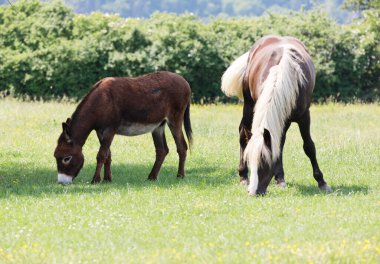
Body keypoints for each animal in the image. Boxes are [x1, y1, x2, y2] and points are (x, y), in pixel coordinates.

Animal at [53, 71, 193, 185]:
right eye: (56, 156)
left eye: (66, 158)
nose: (62, 182)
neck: (101, 100)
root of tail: (184, 81)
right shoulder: (100, 131)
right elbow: (108, 155)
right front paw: (107, 179)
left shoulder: (110, 129)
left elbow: (101, 155)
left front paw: (95, 180)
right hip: (159, 125)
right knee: (162, 150)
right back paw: (152, 177)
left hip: (174, 119)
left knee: (182, 146)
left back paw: (180, 176)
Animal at [221, 35, 332, 196]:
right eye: (251, 160)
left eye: (264, 162)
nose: (253, 192)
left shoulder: (304, 116)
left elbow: (309, 147)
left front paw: (322, 182)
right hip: (249, 105)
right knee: (243, 134)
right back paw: (244, 176)